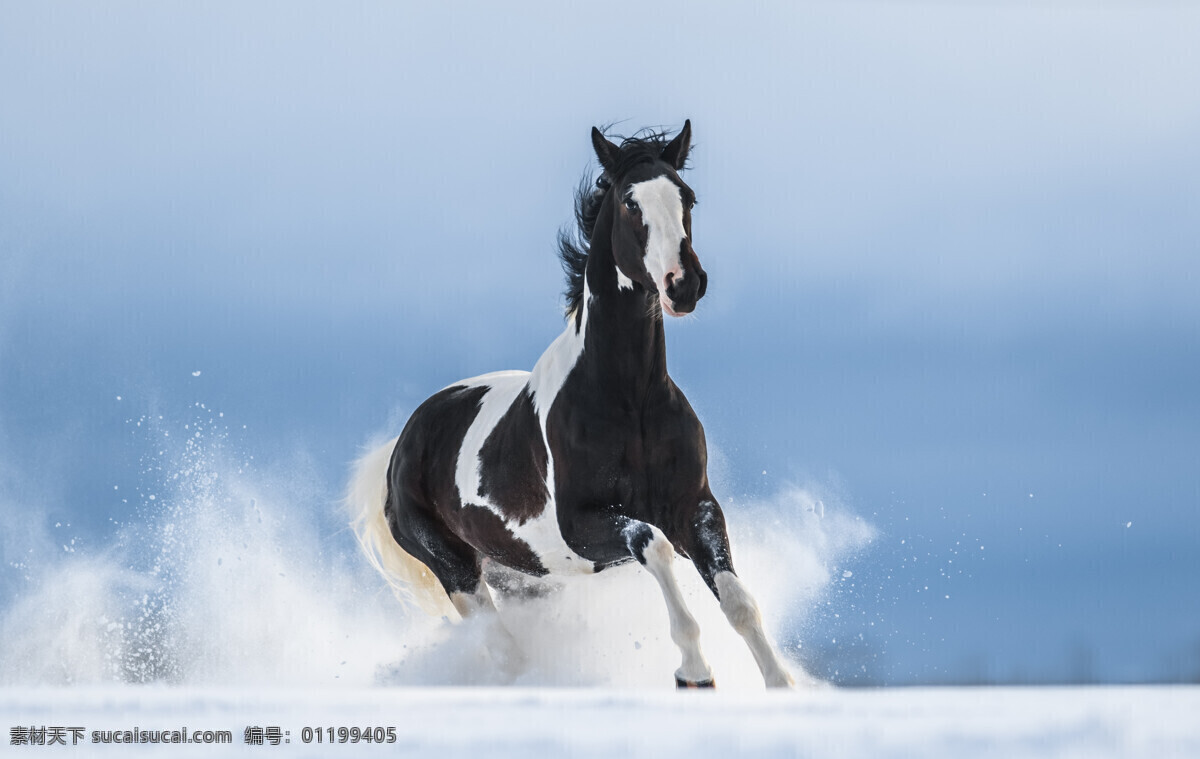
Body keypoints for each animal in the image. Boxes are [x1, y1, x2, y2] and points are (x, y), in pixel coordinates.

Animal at [350, 120, 796, 686]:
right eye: (630, 201)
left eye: (687, 196)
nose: (684, 285)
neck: (630, 401)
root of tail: (400, 446)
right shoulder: (584, 527)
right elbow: (654, 545)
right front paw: (693, 672)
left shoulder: (695, 507)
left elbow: (739, 603)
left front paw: (781, 684)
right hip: (458, 571)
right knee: (504, 652)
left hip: (525, 575)